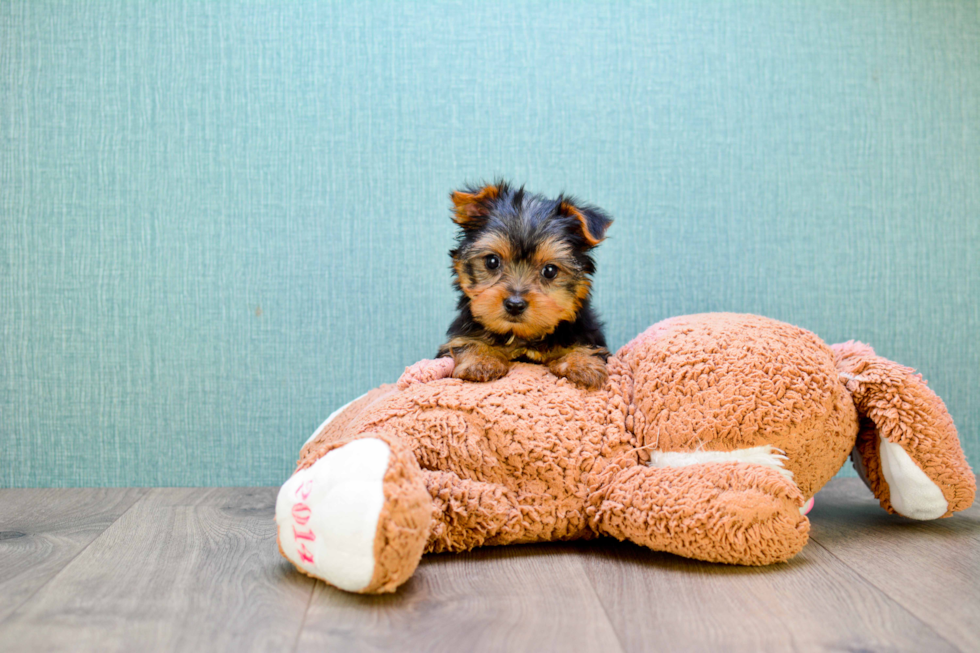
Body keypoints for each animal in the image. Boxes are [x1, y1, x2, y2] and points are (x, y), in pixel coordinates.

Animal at [438, 181, 612, 390]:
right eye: (492, 261)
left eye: (550, 271)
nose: (515, 305)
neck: (520, 335)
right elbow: (465, 342)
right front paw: (480, 361)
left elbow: (583, 346)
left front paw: (583, 364)